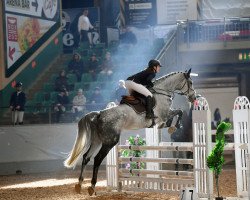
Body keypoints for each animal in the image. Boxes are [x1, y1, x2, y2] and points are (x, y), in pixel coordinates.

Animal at [63, 69, 196, 195]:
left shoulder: (164, 116)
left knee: (86, 157)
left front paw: (170, 126)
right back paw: (91, 186)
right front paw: (175, 126)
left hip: (97, 141)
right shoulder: (165, 114)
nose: (193, 98)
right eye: (190, 82)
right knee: (97, 159)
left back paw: (79, 184)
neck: (162, 92)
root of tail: (99, 114)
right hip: (110, 142)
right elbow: (179, 112)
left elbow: (176, 114)